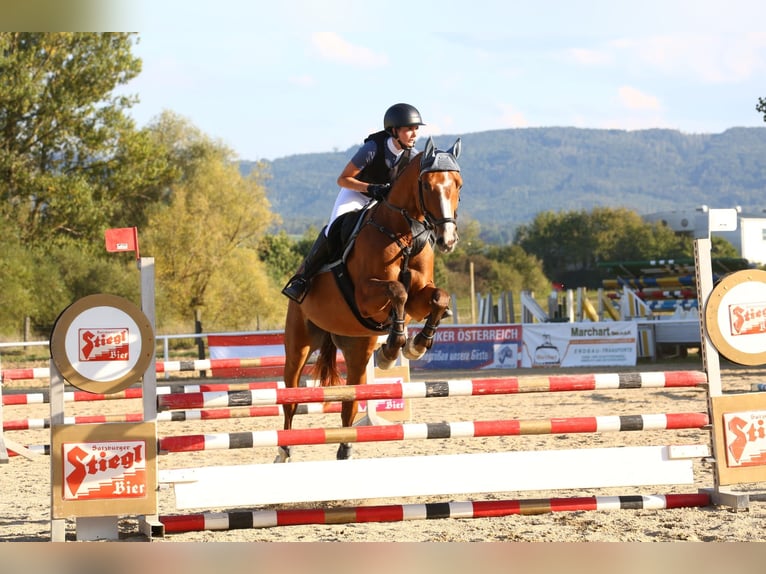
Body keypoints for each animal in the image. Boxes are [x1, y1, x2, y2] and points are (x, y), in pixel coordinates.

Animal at [280, 138, 464, 464]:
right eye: (427, 185)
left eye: (459, 185)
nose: (447, 240)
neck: (403, 232)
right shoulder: (366, 296)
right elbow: (397, 290)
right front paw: (393, 348)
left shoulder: (419, 297)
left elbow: (438, 297)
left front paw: (415, 345)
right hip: (299, 343)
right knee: (290, 397)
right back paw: (285, 450)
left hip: (356, 348)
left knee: (350, 402)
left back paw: (345, 448)